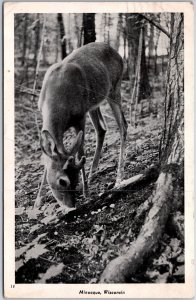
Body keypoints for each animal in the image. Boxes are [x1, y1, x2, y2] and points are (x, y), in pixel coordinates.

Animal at [34, 42, 128, 210]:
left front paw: (86, 192)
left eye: (75, 179)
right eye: (62, 181)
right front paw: (37, 201)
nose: (71, 206)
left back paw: (118, 177)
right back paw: (92, 173)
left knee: (123, 126)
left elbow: (80, 152)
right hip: (93, 103)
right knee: (102, 129)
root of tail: (117, 53)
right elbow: (47, 157)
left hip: (115, 88)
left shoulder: (79, 117)